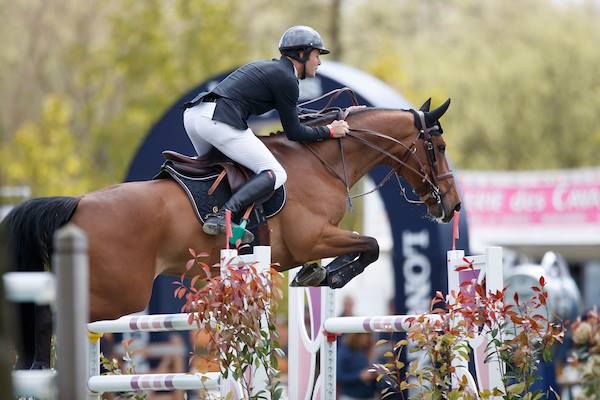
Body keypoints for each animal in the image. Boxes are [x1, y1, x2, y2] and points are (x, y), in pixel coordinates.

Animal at [2, 98, 460, 368]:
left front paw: (319, 274)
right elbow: (372, 245)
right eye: (437, 148)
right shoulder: (312, 237)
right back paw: (37, 369)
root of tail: (77, 205)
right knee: (48, 315)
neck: (322, 162)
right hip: (118, 293)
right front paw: (329, 275)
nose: (452, 207)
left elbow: (367, 247)